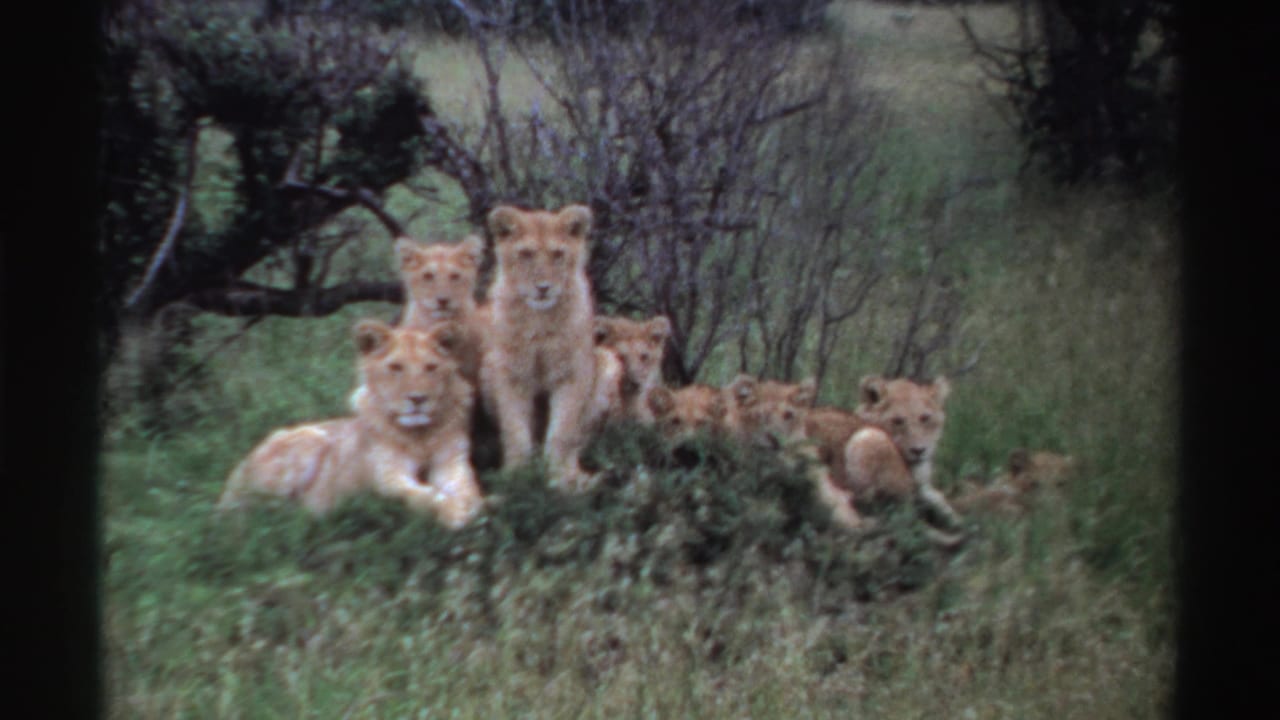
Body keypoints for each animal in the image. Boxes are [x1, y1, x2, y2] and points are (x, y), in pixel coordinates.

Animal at [218, 320, 483, 528]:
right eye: (396, 367)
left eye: (431, 367)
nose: (418, 399)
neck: (420, 436)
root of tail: (237, 471)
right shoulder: (388, 477)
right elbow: (424, 496)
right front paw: (454, 512)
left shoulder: (452, 463)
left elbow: (467, 487)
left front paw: (476, 505)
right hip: (310, 440)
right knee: (255, 511)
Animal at [479, 204, 599, 491]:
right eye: (526, 254)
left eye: (558, 255)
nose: (543, 288)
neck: (539, 321)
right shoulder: (510, 375)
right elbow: (516, 432)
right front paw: (517, 478)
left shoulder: (573, 374)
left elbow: (562, 432)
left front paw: (559, 478)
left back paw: (580, 477)